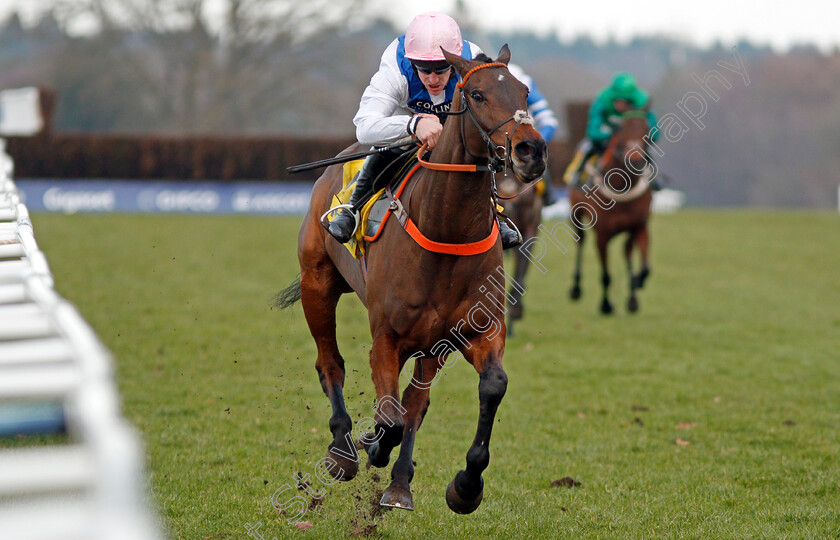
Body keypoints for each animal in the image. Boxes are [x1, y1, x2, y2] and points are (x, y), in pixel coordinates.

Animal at [276, 45, 544, 510]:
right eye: (476, 94)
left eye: (524, 91)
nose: (531, 150)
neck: (447, 230)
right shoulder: (387, 338)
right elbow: (391, 417)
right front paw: (372, 444)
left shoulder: (472, 332)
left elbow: (486, 387)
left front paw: (465, 486)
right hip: (317, 284)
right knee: (330, 363)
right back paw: (343, 451)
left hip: (431, 343)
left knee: (416, 401)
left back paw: (399, 481)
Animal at [568, 109, 652, 312]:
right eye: (622, 129)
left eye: (646, 128)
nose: (636, 160)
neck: (622, 186)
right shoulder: (602, 234)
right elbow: (606, 274)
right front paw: (606, 304)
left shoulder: (637, 225)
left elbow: (642, 265)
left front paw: (634, 291)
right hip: (576, 213)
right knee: (580, 241)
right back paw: (576, 288)